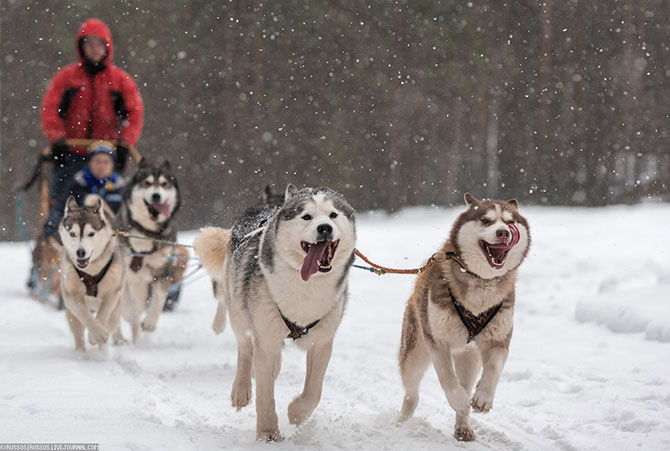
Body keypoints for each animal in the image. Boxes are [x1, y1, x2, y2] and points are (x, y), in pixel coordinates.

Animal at [193, 184, 356, 442]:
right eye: (306, 216)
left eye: (333, 215)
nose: (325, 228)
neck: (305, 288)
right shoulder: (265, 338)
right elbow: (265, 394)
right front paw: (268, 433)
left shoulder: (322, 341)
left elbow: (314, 389)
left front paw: (297, 412)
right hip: (239, 313)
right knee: (245, 349)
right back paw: (241, 389)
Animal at [396, 193, 532, 442]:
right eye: (486, 220)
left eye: (510, 222)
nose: (503, 233)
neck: (481, 284)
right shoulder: (437, 341)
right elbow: (447, 379)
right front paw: (458, 400)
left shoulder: (499, 339)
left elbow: (494, 368)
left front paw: (484, 398)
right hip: (414, 355)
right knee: (412, 394)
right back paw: (401, 422)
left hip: (469, 358)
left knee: (466, 383)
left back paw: (463, 426)